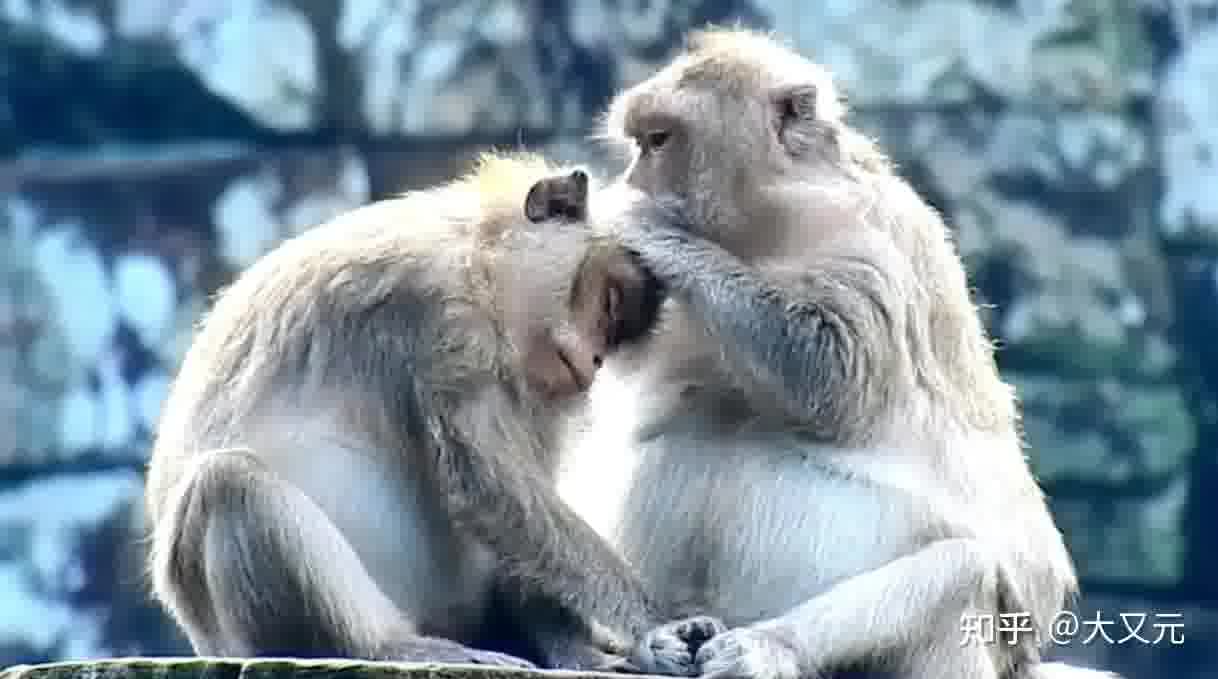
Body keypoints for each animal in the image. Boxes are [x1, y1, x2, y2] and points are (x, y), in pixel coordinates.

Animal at [143, 152, 677, 671]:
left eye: (615, 327)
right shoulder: (442, 308)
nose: (596, 360)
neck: (479, 256)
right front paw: (652, 624)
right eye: (610, 300)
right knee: (229, 481)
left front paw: (580, 649)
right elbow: (487, 483)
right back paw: (386, 646)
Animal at [556, 27, 1121, 679]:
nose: (630, 180)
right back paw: (656, 641)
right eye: (641, 142)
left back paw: (768, 648)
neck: (761, 228)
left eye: (659, 140)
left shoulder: (859, 233)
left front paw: (649, 229)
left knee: (959, 573)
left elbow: (832, 372)